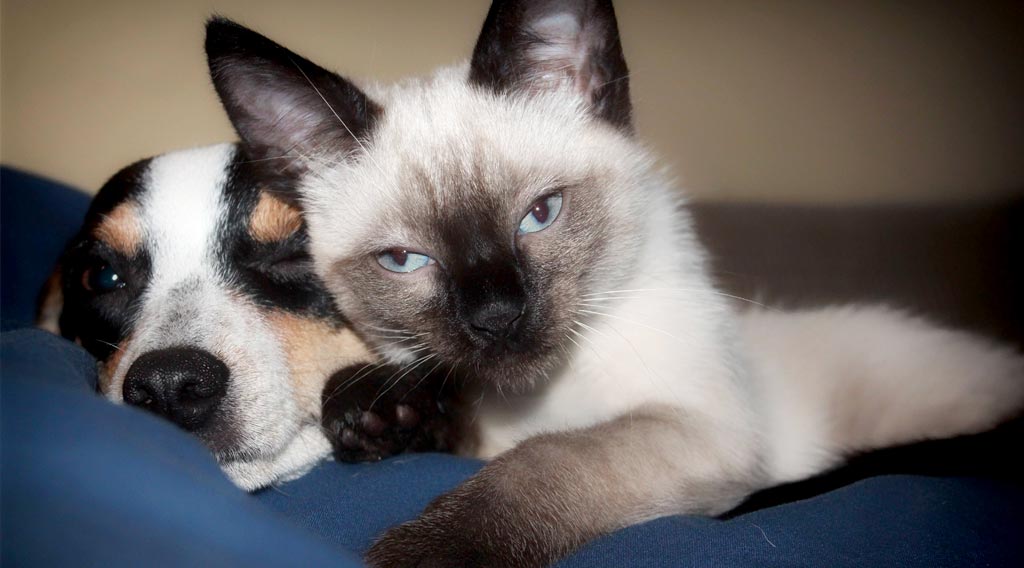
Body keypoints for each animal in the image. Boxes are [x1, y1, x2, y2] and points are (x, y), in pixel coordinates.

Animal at [201, 2, 1024, 564]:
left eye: (541, 214)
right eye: (405, 262)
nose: (498, 315)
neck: (540, 397)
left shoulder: (699, 430)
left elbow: (538, 467)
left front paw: (410, 555)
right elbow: (426, 407)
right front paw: (378, 414)